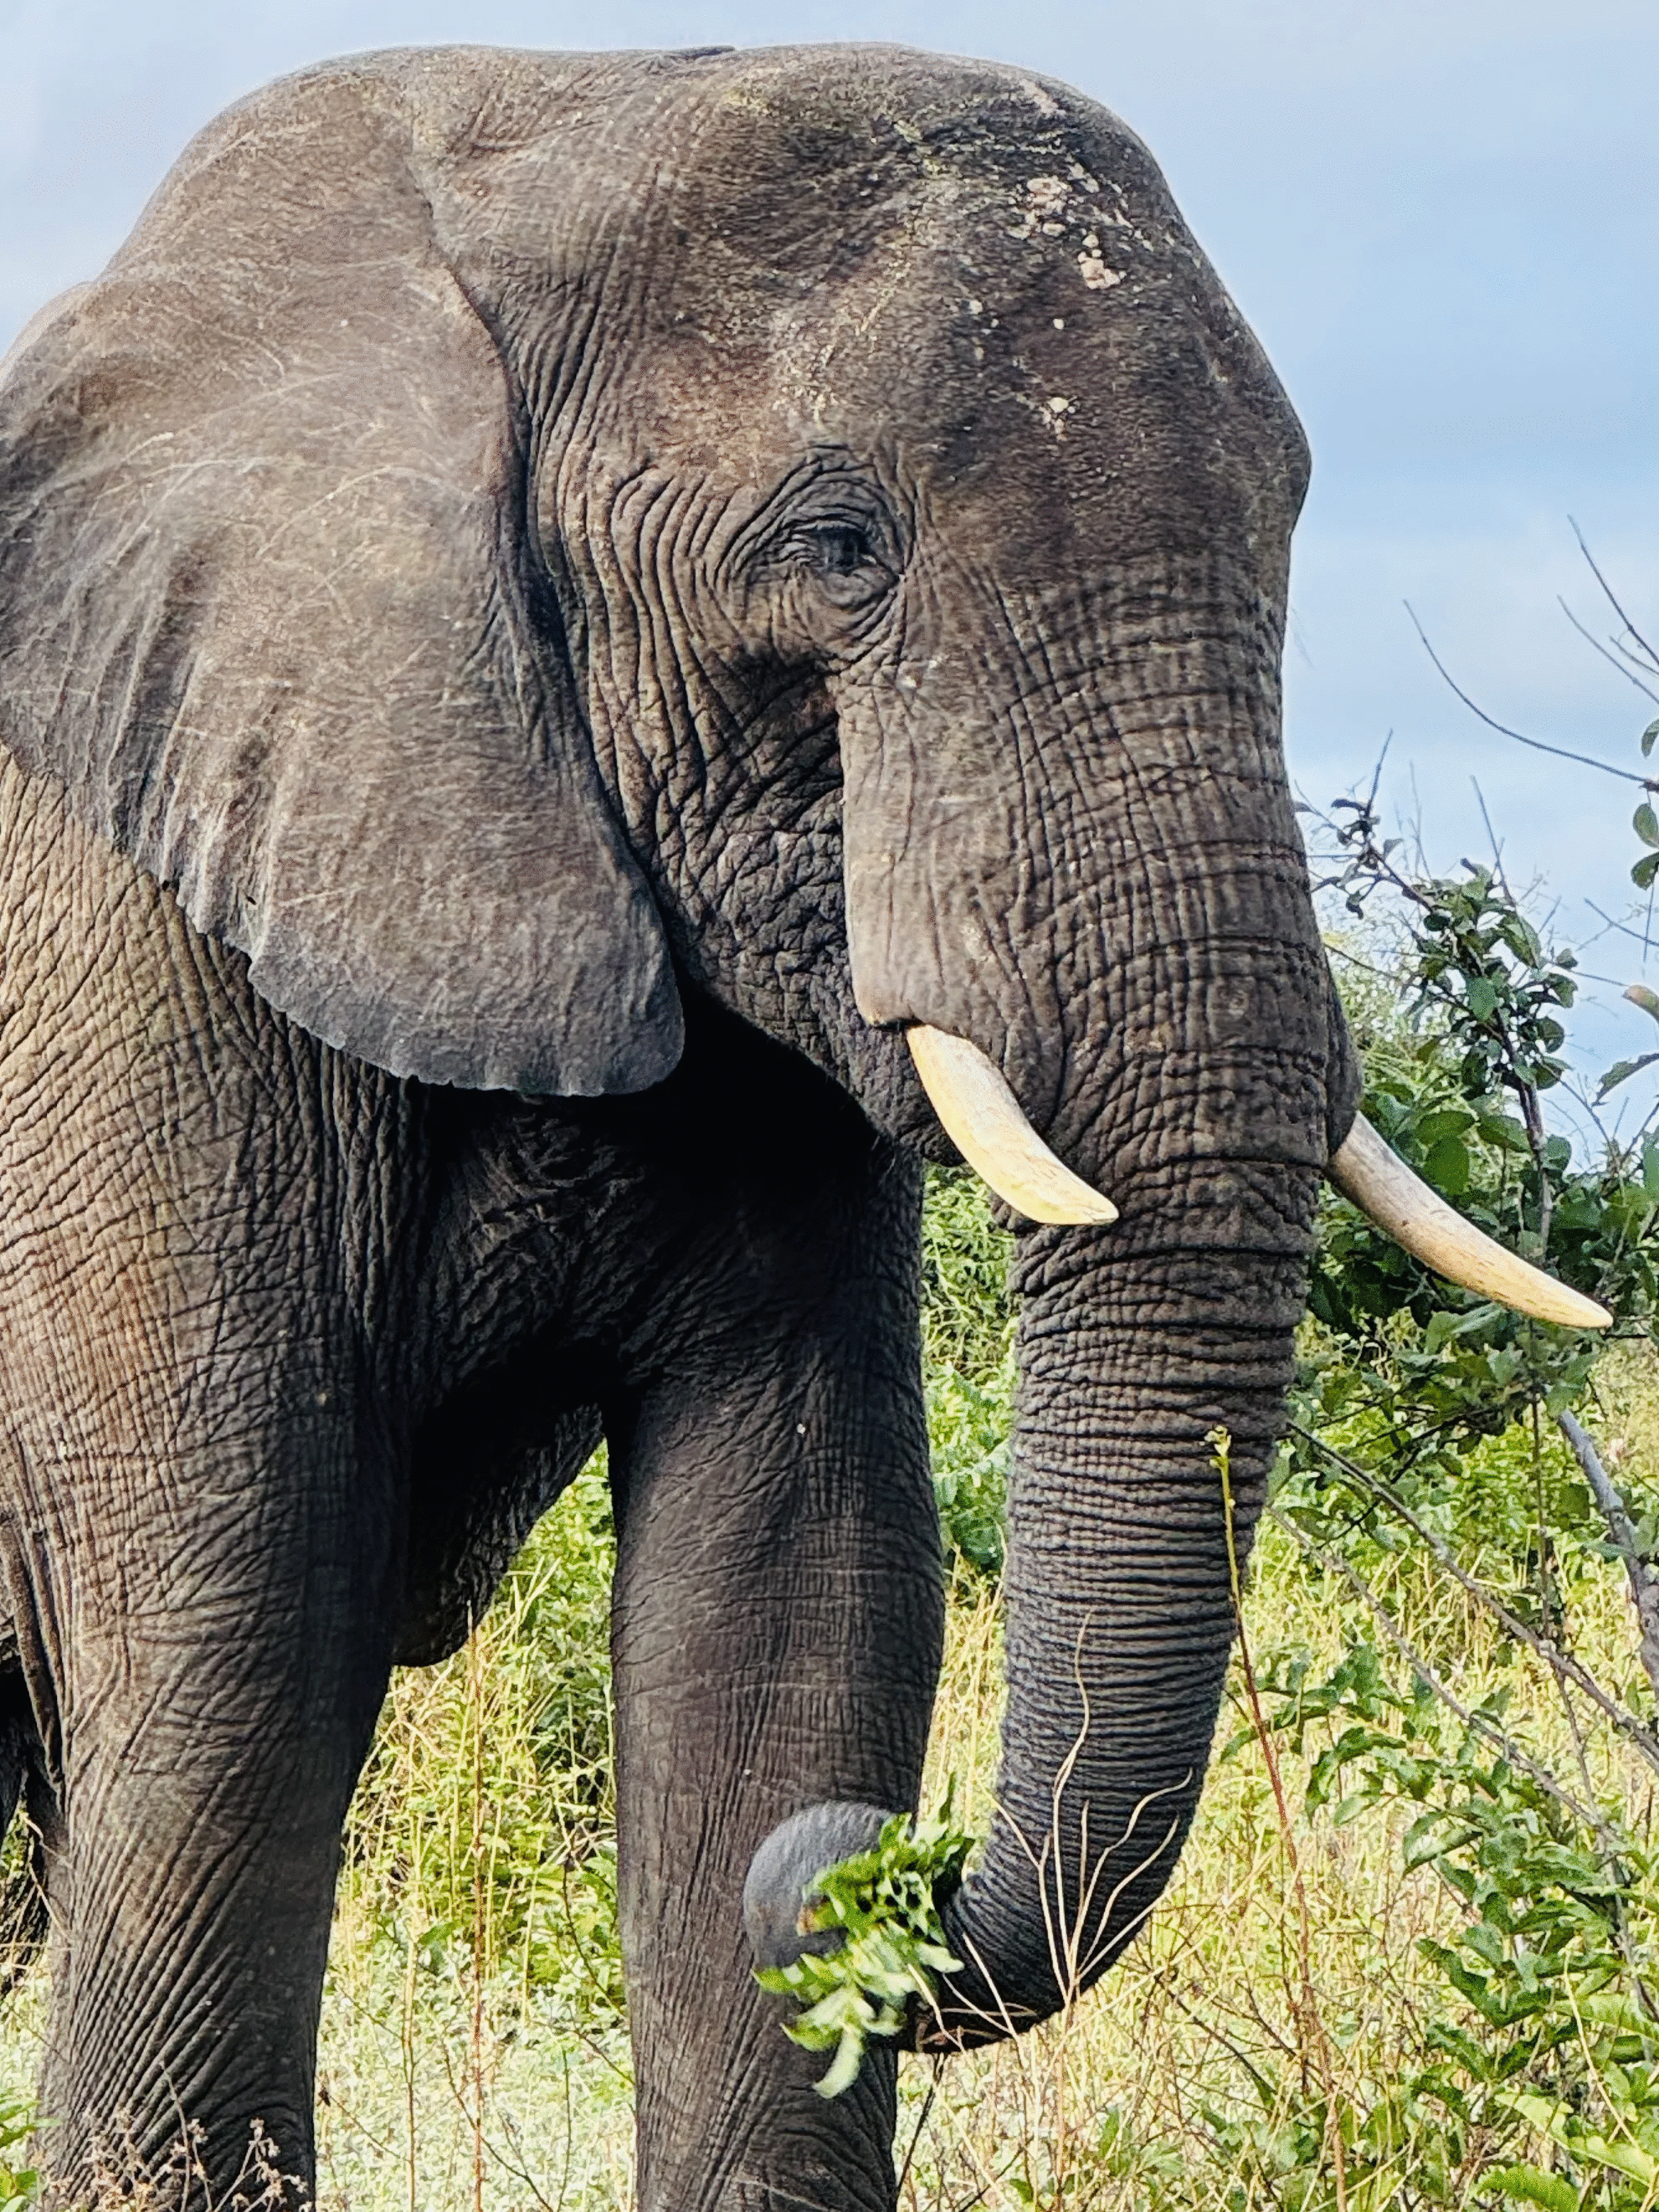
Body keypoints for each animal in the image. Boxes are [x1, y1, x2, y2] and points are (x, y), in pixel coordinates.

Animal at [0, 40, 1600, 2211]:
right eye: (844, 546)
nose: (870, 1878)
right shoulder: (133, 944)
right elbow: (238, 1604)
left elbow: (794, 1600)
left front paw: (785, 1830)